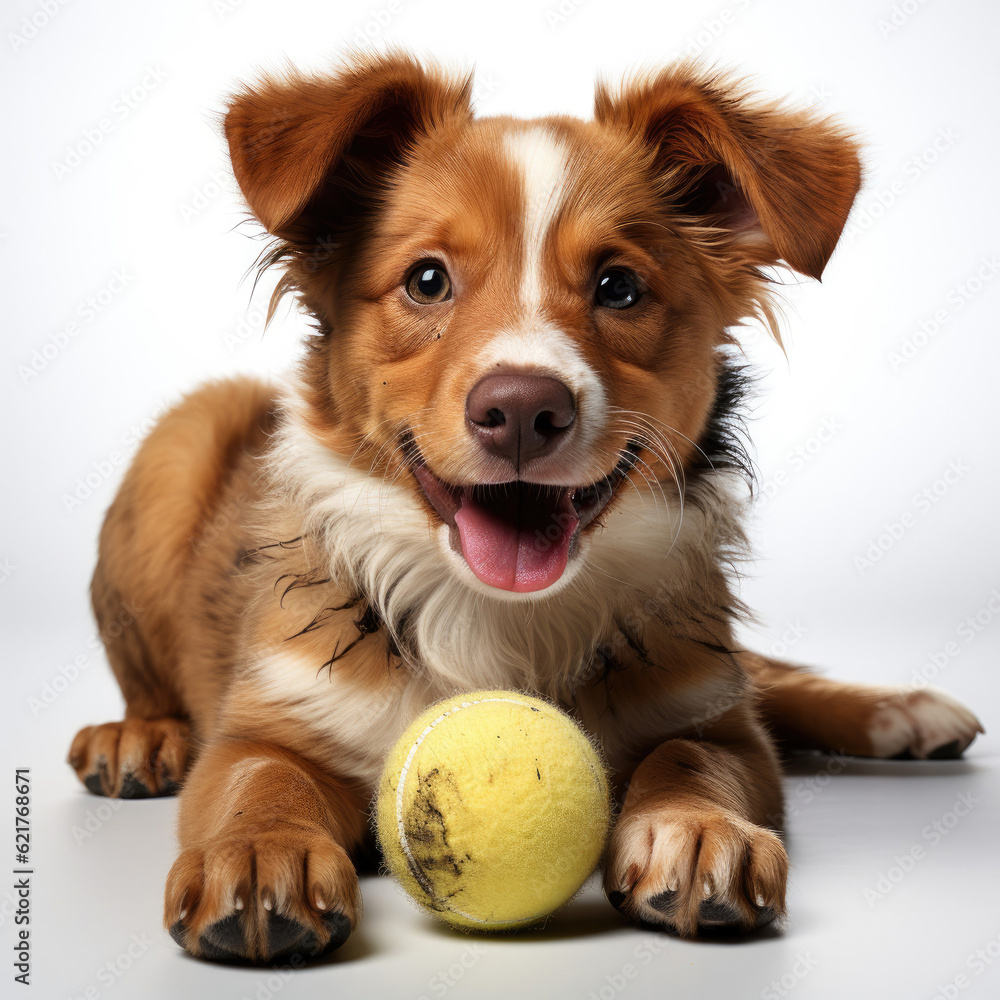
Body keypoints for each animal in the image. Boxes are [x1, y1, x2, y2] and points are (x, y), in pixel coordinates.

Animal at [68, 52, 984, 960]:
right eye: (427, 280)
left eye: (619, 287)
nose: (519, 410)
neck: (497, 613)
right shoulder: (262, 724)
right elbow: (260, 778)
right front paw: (263, 853)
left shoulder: (718, 717)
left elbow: (696, 755)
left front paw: (695, 830)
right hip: (184, 436)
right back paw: (138, 738)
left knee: (768, 677)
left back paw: (901, 713)